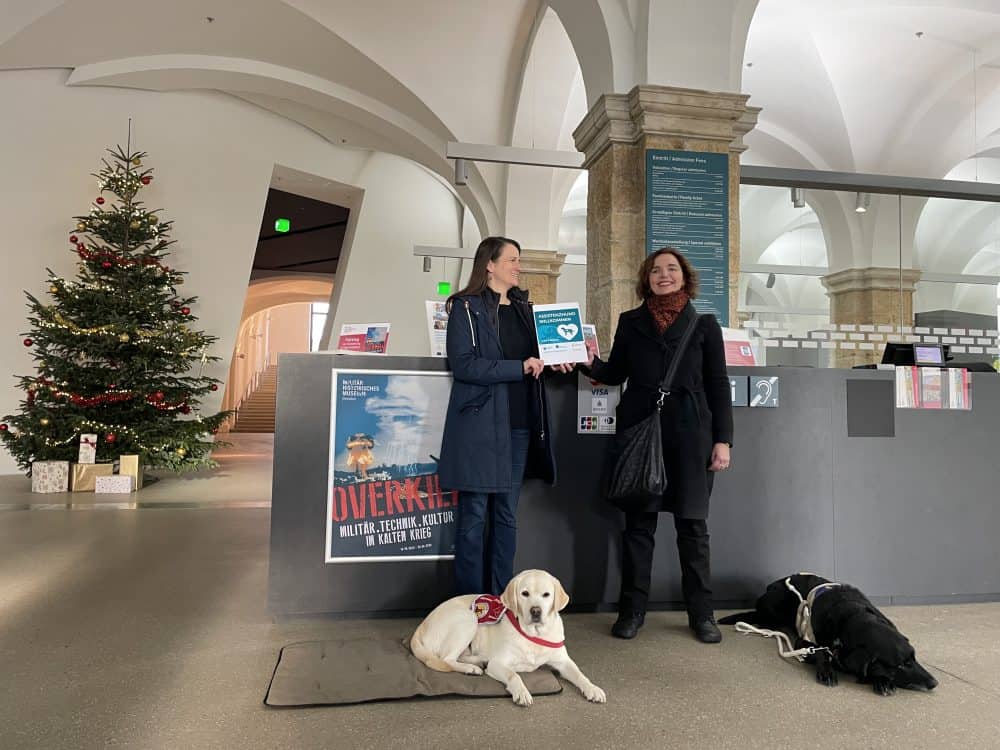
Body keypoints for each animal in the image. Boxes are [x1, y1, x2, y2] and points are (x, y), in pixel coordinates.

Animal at [408, 572, 604, 708]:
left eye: (546, 595)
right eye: (525, 593)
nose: (535, 611)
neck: (534, 634)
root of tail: (421, 626)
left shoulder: (563, 662)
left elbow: (579, 674)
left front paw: (593, 688)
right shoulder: (498, 663)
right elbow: (513, 675)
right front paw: (522, 692)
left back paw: (477, 662)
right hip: (468, 618)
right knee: (446, 659)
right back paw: (471, 668)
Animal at [720, 576, 936, 700]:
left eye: (914, 658)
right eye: (901, 665)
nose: (935, 683)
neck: (851, 617)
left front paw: (882, 680)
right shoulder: (803, 642)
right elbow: (821, 653)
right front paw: (827, 671)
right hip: (774, 604)